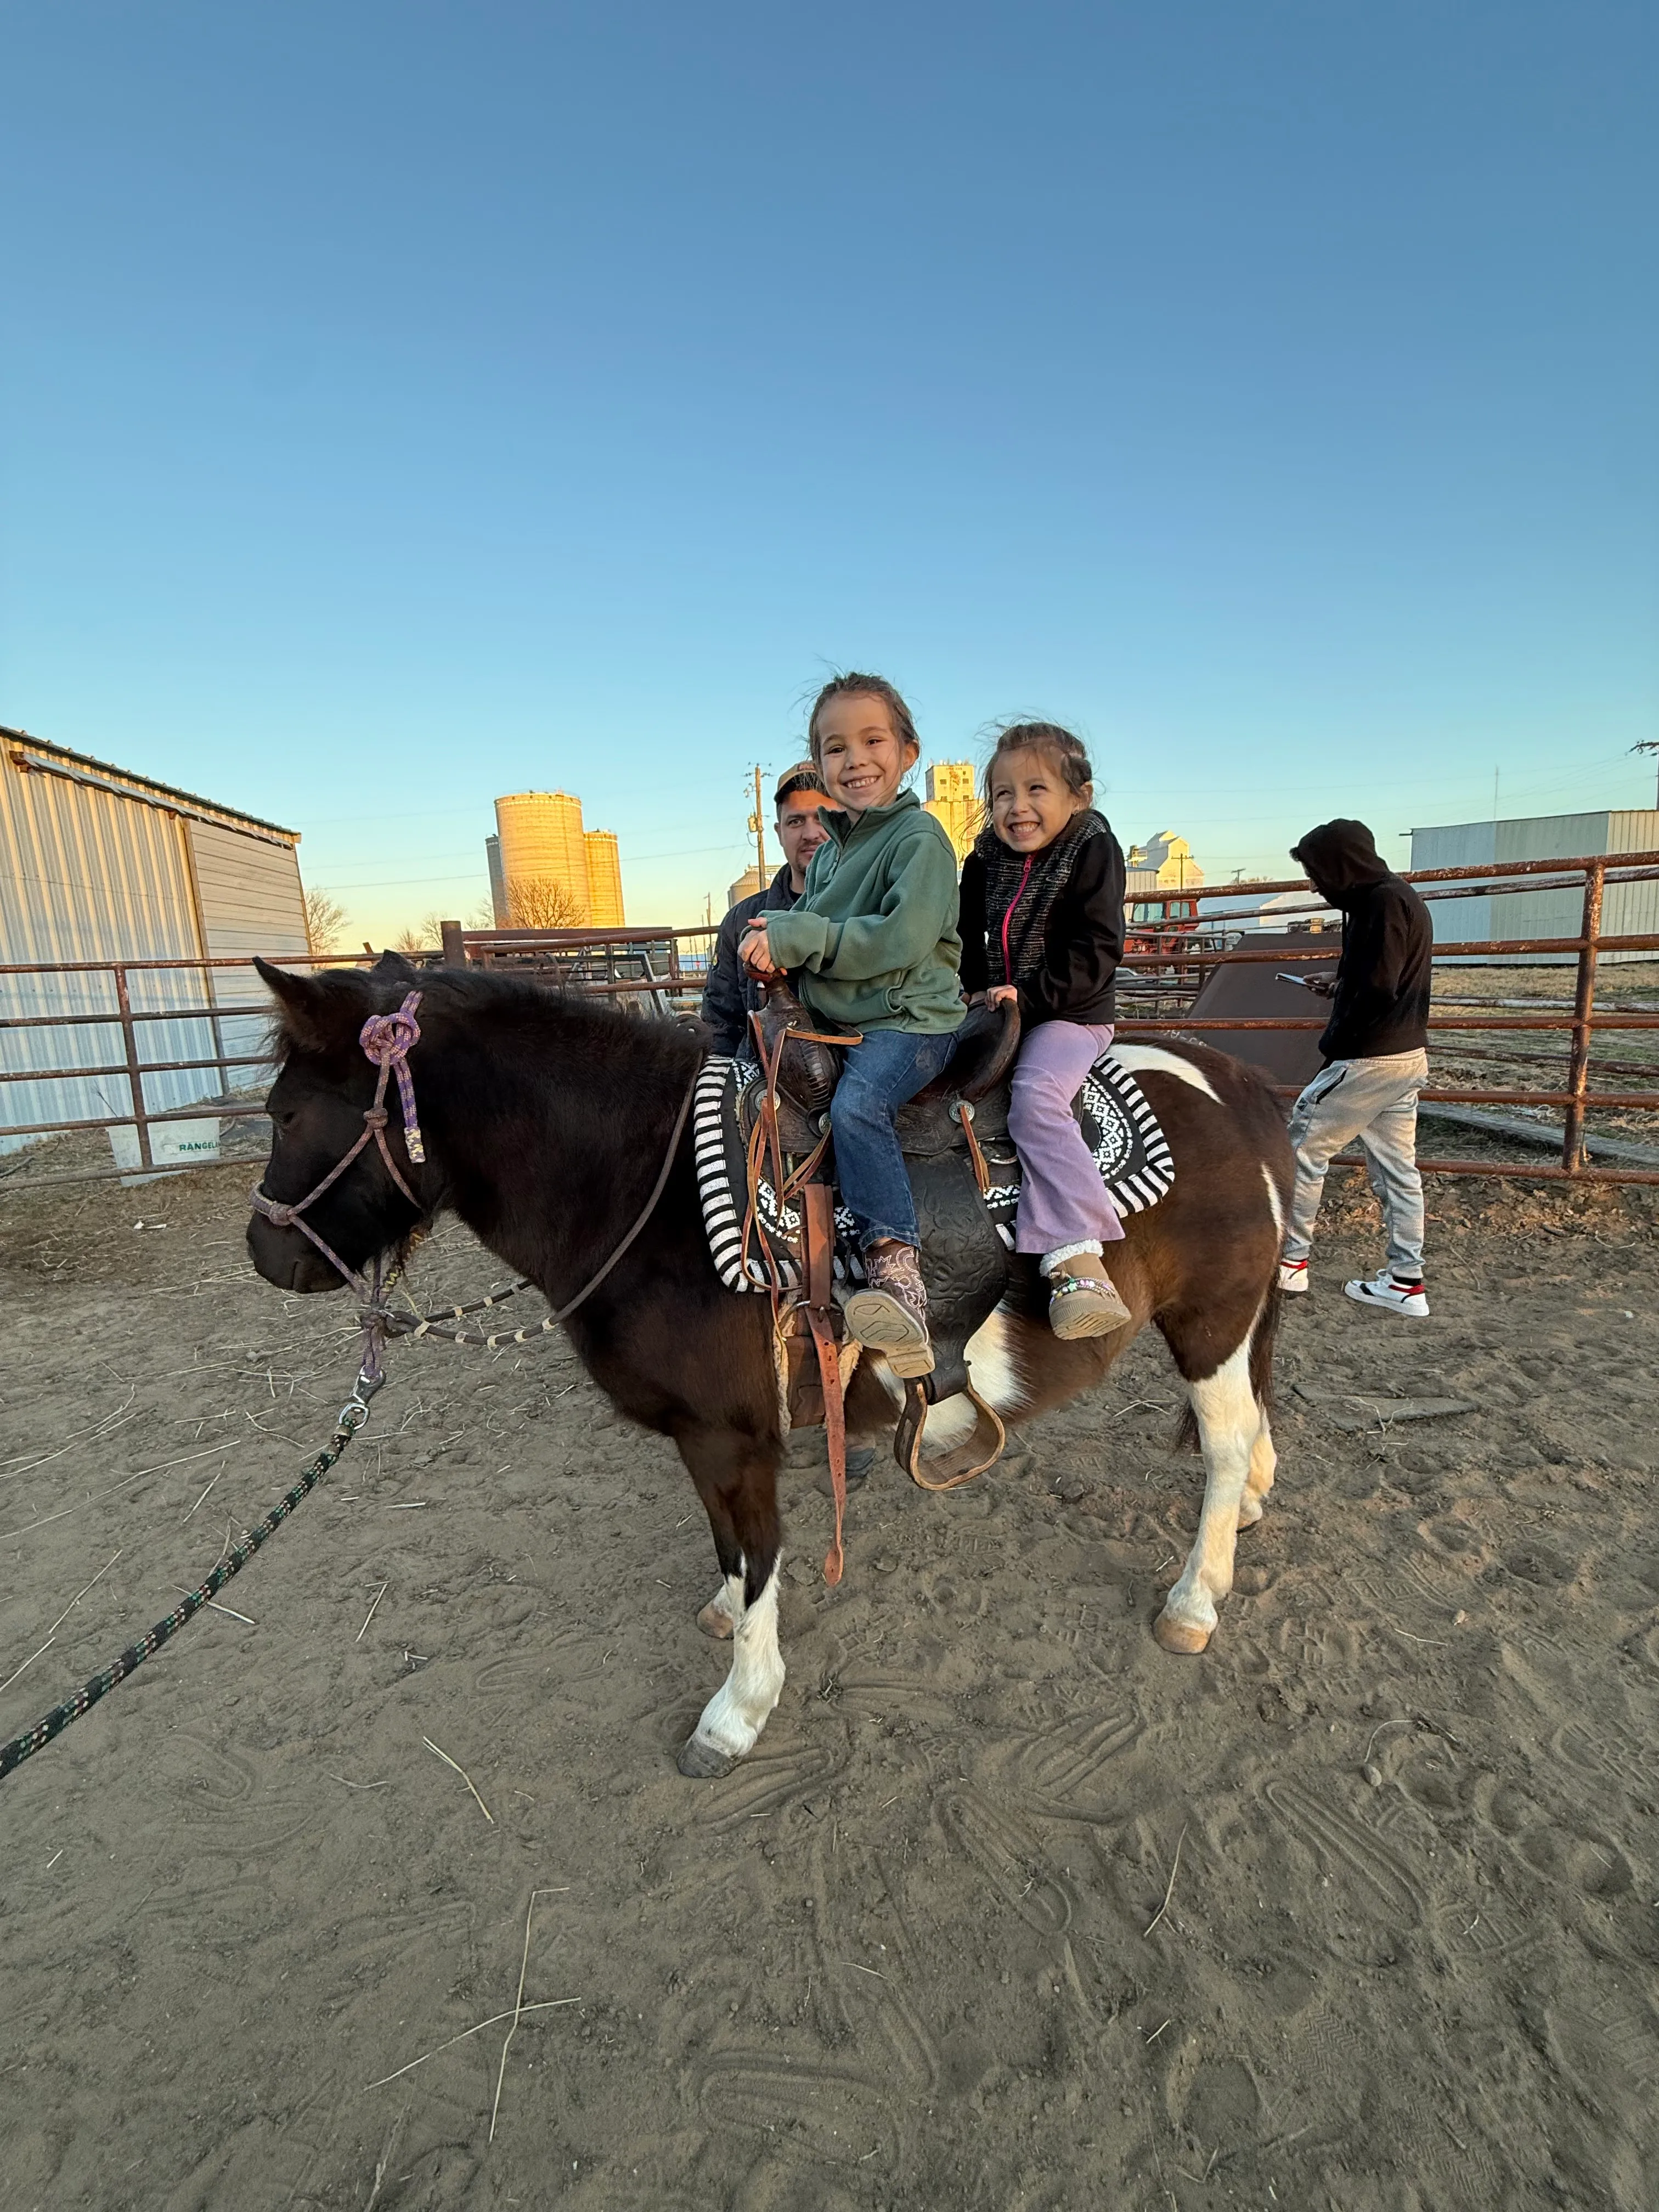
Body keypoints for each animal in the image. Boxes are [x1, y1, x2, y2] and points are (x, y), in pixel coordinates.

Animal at [246, 953, 1294, 1778]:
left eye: (286, 1112)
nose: (266, 1257)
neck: (643, 1183)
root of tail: (1232, 1079)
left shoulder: (734, 1437)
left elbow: (755, 1558)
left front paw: (736, 1712)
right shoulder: (700, 1438)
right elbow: (724, 1548)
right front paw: (720, 1618)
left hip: (1209, 1325)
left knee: (1222, 1444)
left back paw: (1194, 1598)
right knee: (1249, 1428)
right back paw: (1246, 1513)